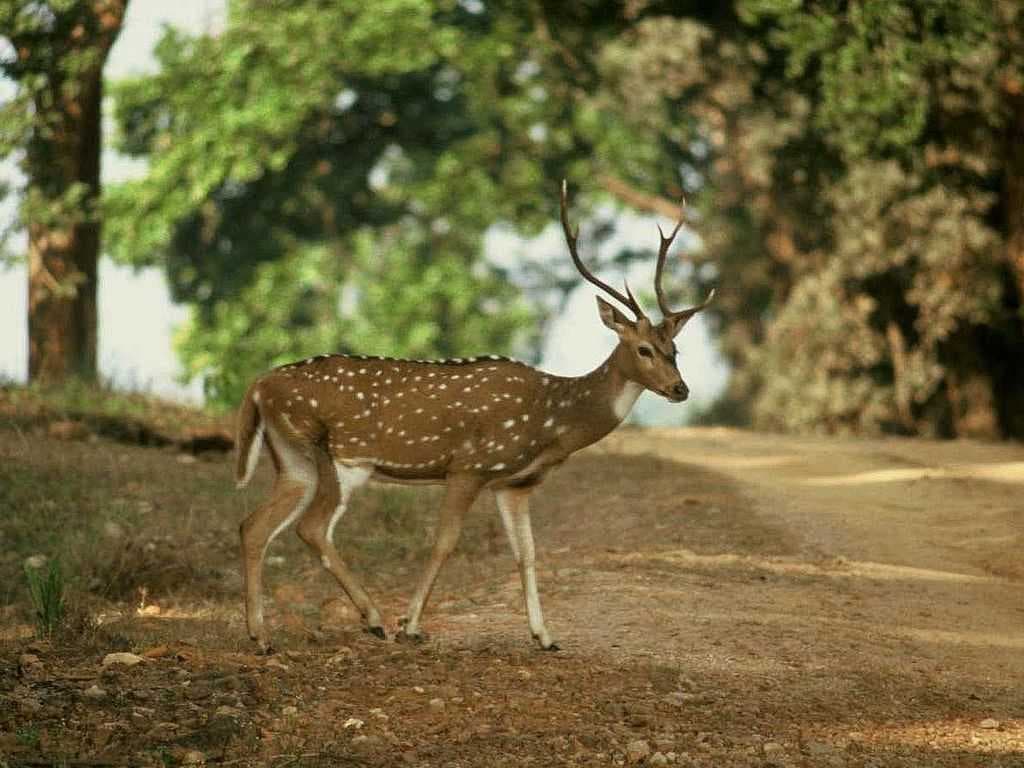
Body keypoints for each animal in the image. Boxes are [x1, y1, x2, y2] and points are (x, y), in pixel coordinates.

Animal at [234, 181, 714, 652]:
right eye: (644, 349)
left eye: (675, 349)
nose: (680, 389)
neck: (551, 420)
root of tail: (258, 386)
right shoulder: (469, 466)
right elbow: (444, 543)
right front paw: (411, 626)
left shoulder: (513, 483)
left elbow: (527, 552)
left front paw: (545, 636)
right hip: (345, 455)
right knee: (312, 528)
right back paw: (373, 622)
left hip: (293, 458)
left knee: (253, 525)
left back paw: (262, 636)